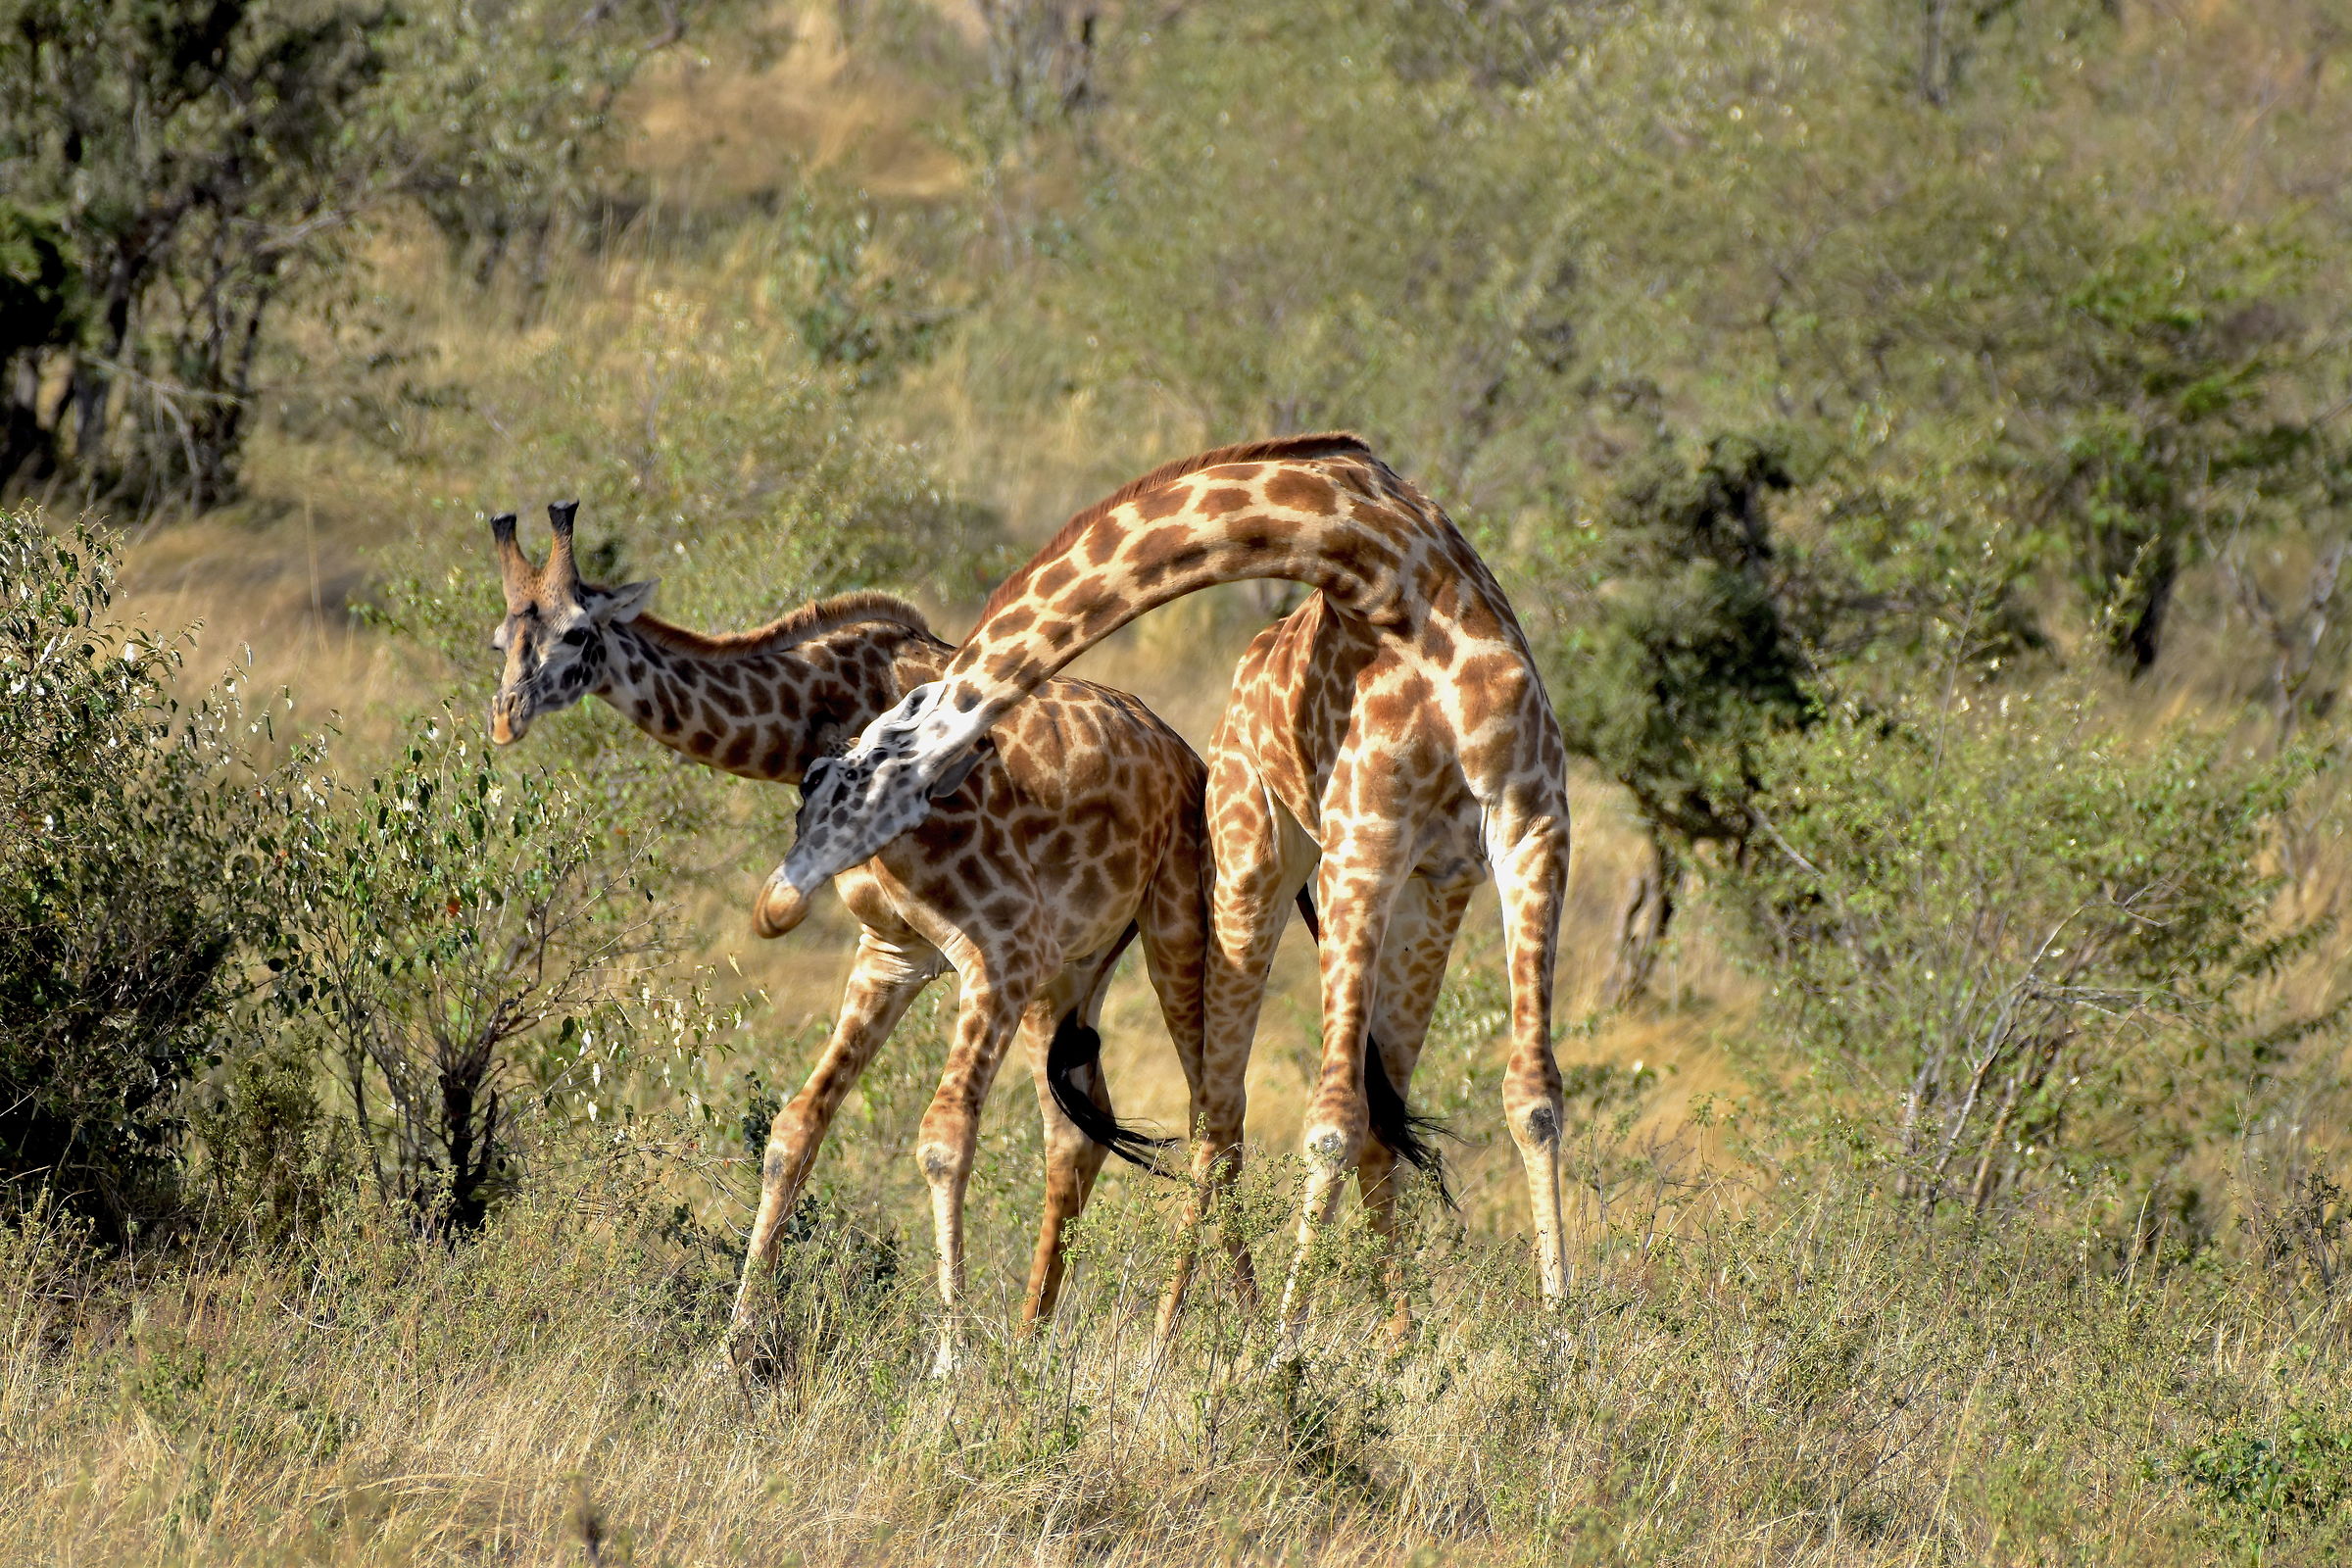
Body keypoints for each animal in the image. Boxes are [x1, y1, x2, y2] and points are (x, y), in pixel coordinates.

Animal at [484, 501, 1218, 1370]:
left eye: (574, 633)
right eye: (499, 639)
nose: (505, 717)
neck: (817, 711)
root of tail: (1188, 758)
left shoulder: (1002, 946)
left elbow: (941, 1140)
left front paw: (949, 1369)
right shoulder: (895, 952)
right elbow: (794, 1127)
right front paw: (731, 1351)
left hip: (1177, 928)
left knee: (1214, 1128)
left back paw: (1172, 1351)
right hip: (1072, 970)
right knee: (1078, 1134)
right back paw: (1033, 1339)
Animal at [768, 435, 1576, 1336]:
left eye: (830, 787)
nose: (779, 902)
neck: (1382, 565)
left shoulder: (1531, 822)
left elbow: (1532, 1094)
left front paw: (1560, 1334)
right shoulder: (1365, 841)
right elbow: (1331, 1118)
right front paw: (1285, 1350)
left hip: (1429, 893)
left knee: (1368, 1108)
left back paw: (1393, 1336)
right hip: (1255, 875)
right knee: (1222, 1116)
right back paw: (1182, 1342)